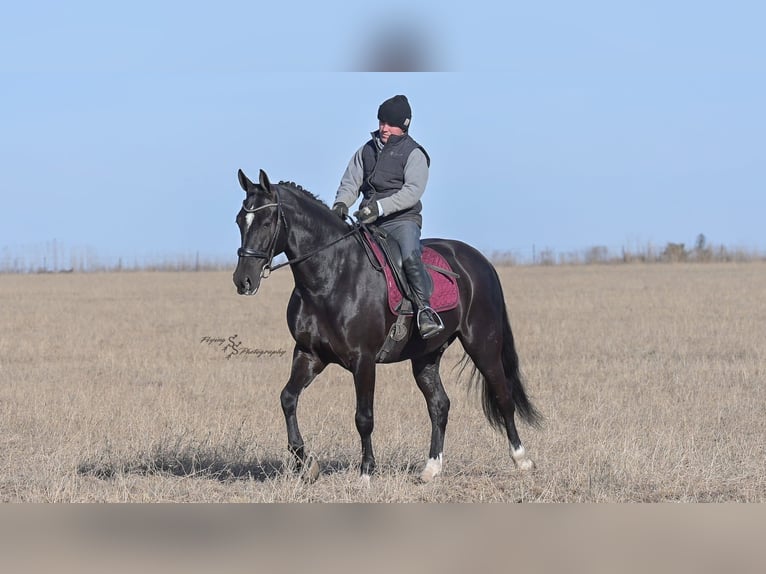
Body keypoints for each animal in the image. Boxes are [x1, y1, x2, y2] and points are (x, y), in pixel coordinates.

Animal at [232, 169, 541, 483]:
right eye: (239, 220)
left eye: (267, 222)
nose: (243, 280)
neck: (330, 277)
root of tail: (481, 262)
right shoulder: (309, 355)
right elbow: (288, 399)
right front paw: (306, 462)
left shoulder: (363, 360)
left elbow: (364, 417)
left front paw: (366, 472)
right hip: (426, 356)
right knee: (439, 405)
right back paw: (431, 469)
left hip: (483, 345)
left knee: (503, 396)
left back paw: (522, 460)